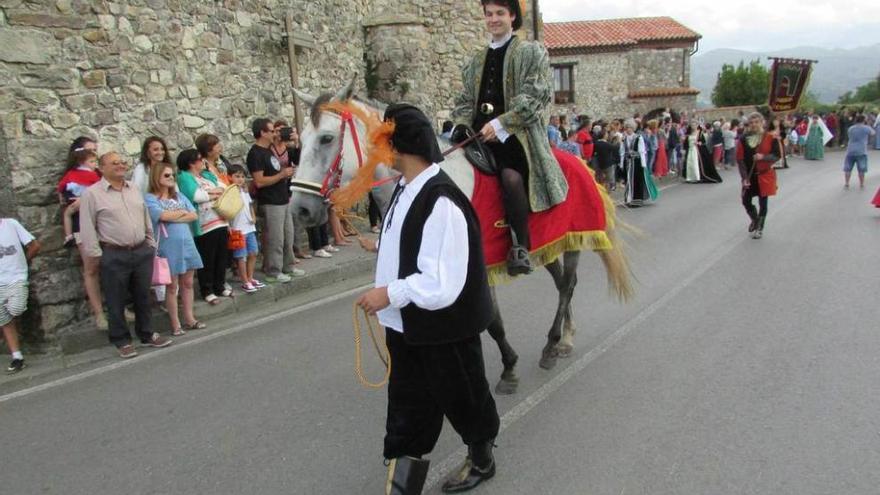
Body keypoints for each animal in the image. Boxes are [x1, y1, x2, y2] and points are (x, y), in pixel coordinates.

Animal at [292, 77, 628, 396]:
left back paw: (553, 343)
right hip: (547, 245)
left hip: (573, 241)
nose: (300, 209)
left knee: (568, 285)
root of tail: (579, 163)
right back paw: (563, 341)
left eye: (326, 138)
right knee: (562, 284)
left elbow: (492, 321)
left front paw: (508, 369)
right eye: (301, 140)